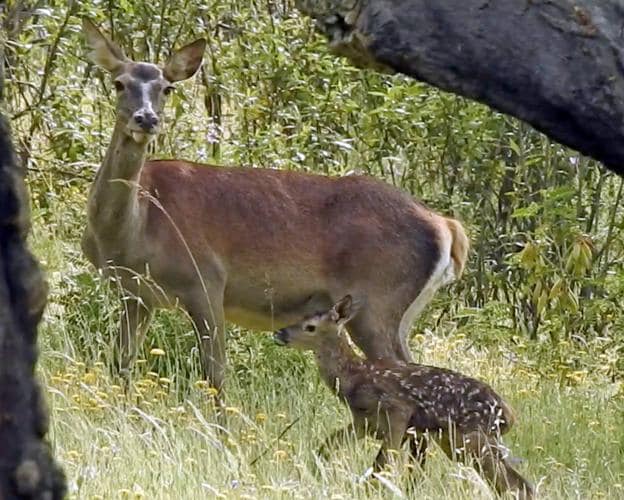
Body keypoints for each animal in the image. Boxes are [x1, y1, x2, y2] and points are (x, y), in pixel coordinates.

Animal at [81, 19, 468, 392]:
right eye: (119, 83)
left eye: (167, 88)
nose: (146, 119)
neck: (134, 230)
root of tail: (446, 226)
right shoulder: (136, 295)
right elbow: (120, 366)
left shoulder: (206, 279)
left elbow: (215, 376)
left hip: (379, 302)